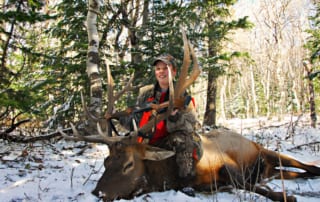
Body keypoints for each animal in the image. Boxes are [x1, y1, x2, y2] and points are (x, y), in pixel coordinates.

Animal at [58, 30, 318, 202]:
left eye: (128, 164)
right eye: (106, 161)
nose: (98, 192)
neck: (172, 176)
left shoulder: (226, 164)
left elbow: (246, 183)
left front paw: (286, 196)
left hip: (264, 150)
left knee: (307, 166)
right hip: (271, 166)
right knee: (292, 171)